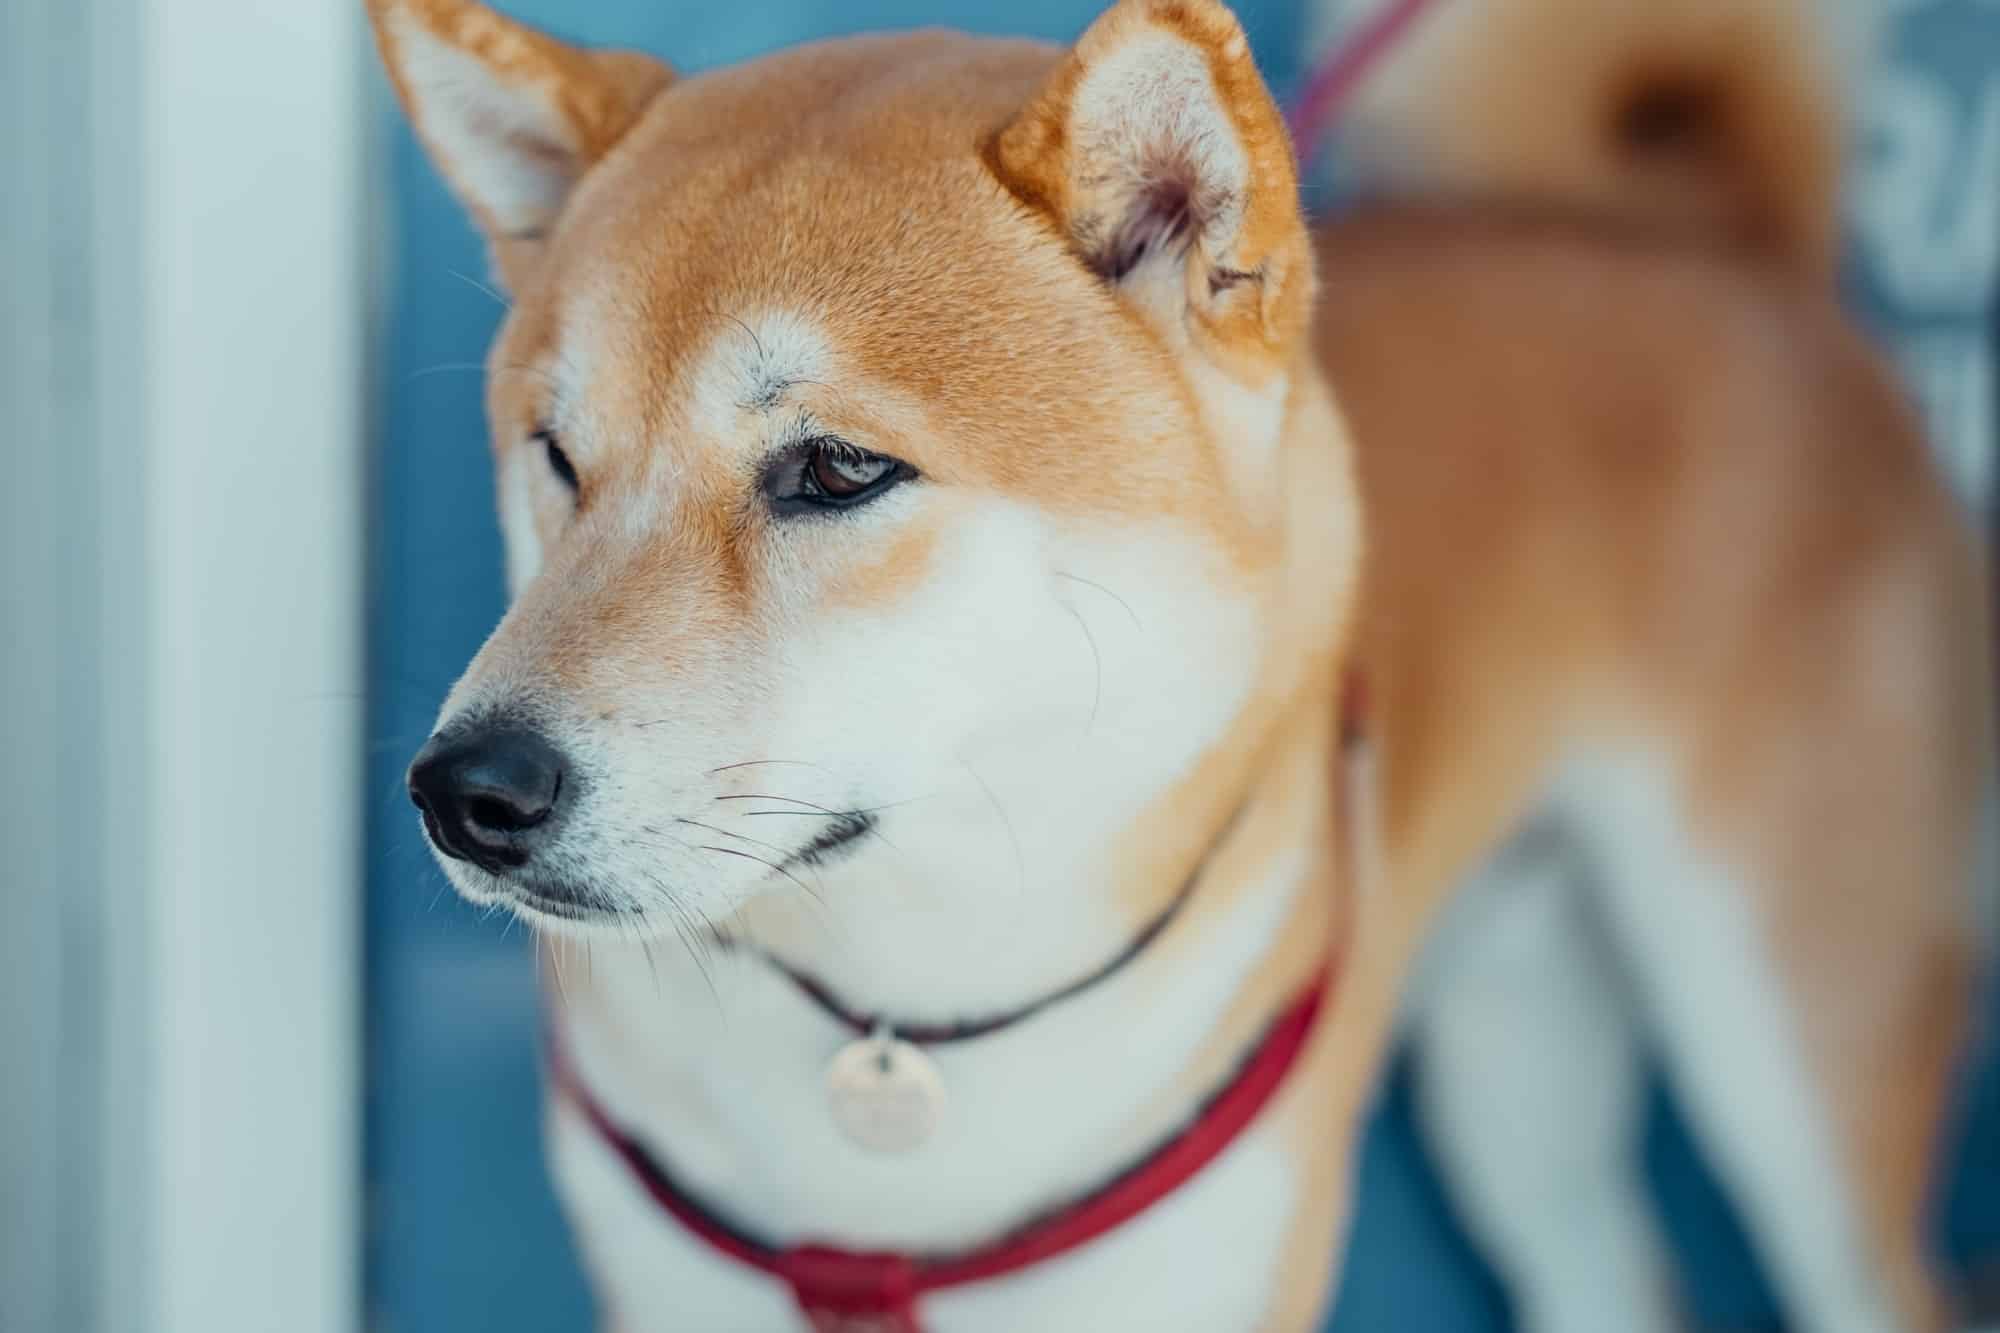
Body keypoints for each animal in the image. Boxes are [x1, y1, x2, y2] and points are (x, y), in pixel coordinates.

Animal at [372, 0, 1984, 1320]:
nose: (467, 792)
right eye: (557, 456)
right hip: (1514, 1071)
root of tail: (1725, 253)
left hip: (1793, 1056)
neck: (912, 1032)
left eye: (835, 470)